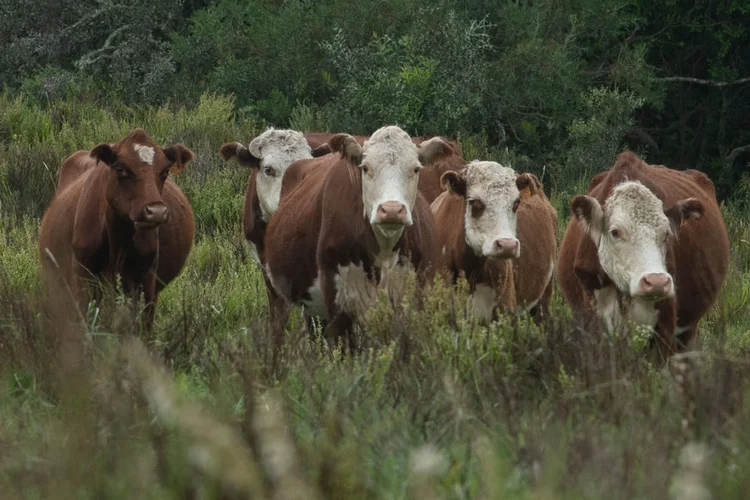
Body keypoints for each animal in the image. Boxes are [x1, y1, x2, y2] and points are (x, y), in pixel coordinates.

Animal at [39, 128, 197, 328]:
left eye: (165, 170)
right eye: (120, 168)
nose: (157, 211)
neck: (118, 242)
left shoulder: (146, 284)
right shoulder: (82, 278)